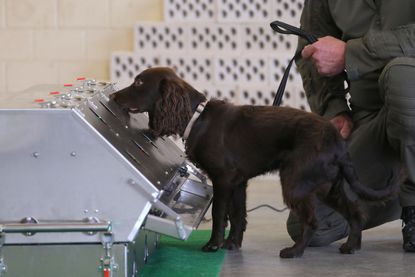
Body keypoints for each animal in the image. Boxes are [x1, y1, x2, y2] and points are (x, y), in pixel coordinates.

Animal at [112, 66, 398, 256]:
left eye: (138, 83)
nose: (114, 97)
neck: (197, 118)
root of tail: (335, 138)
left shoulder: (223, 179)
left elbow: (219, 214)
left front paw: (213, 245)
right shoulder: (238, 182)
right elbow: (238, 215)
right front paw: (232, 244)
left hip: (295, 181)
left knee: (311, 220)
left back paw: (295, 251)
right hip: (327, 185)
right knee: (356, 212)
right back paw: (351, 246)